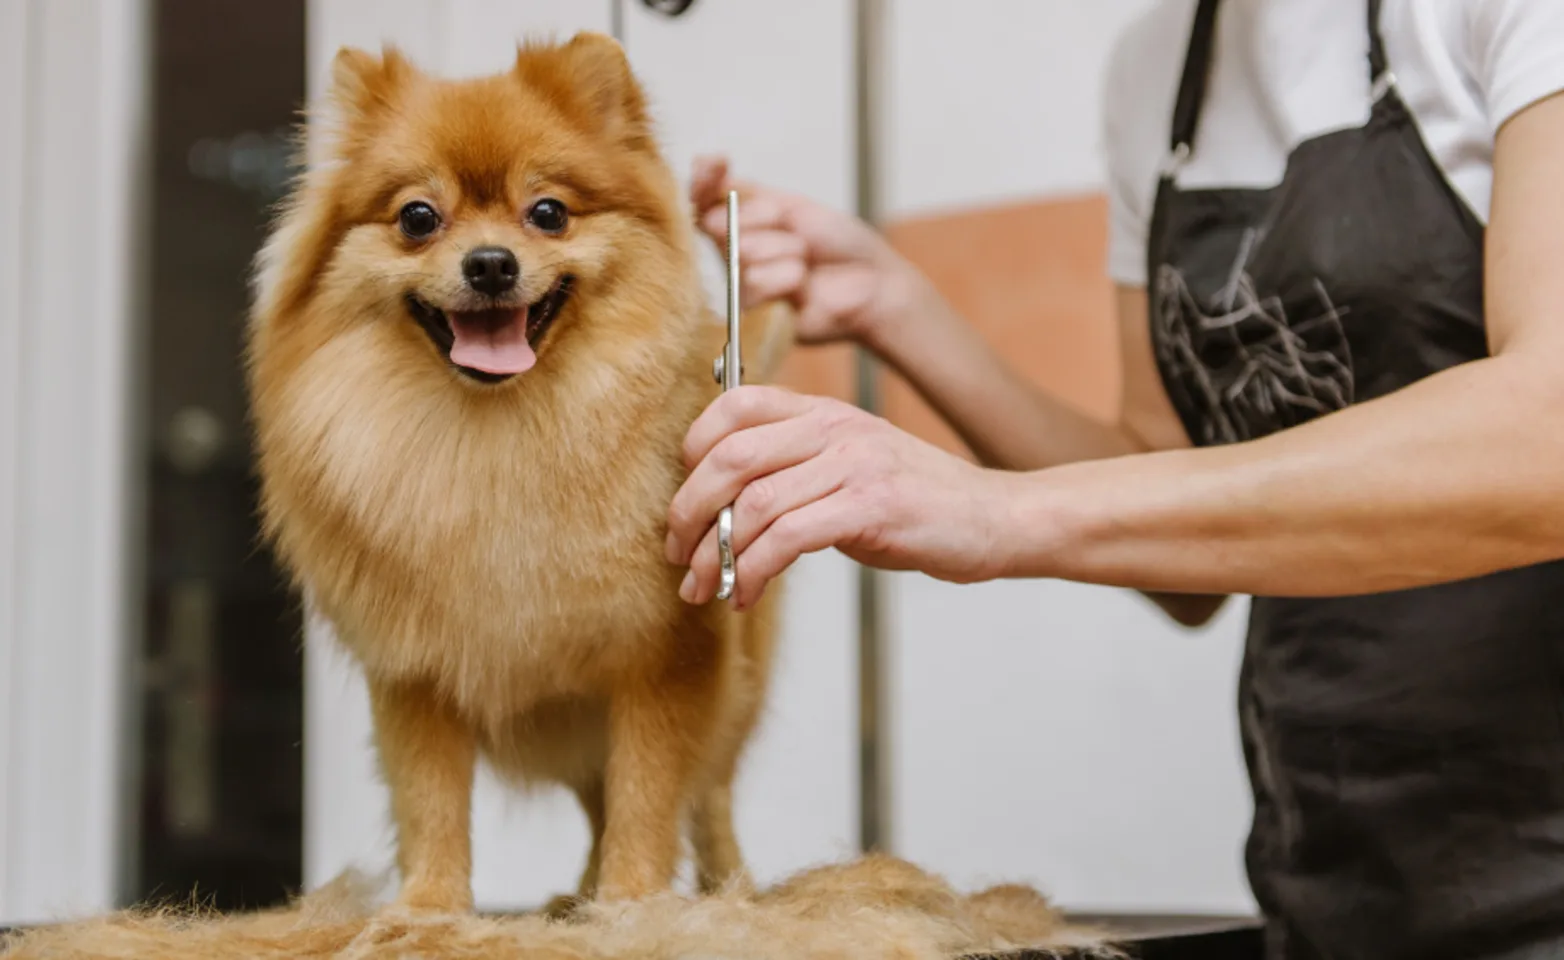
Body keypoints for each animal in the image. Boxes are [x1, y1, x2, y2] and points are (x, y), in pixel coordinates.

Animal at [251, 32, 800, 919]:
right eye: (418, 217)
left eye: (548, 212)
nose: (490, 264)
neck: (504, 439)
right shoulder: (415, 672)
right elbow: (432, 800)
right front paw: (430, 910)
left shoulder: (666, 655)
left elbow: (649, 794)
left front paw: (633, 905)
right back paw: (573, 899)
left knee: (706, 794)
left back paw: (724, 889)